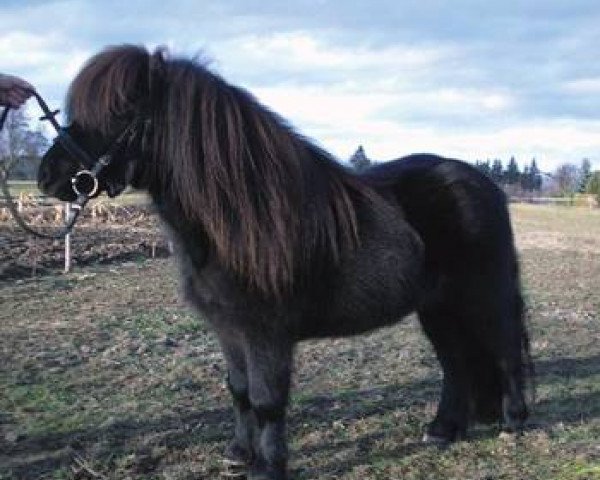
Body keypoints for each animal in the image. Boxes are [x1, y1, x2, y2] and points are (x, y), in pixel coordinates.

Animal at [38, 44, 528, 476]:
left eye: (121, 109)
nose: (48, 175)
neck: (239, 217)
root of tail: (482, 184)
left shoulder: (266, 334)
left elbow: (267, 402)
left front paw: (268, 467)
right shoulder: (229, 329)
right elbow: (239, 392)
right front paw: (238, 455)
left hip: (481, 297)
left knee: (504, 348)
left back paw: (513, 422)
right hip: (437, 307)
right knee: (456, 362)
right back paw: (443, 429)